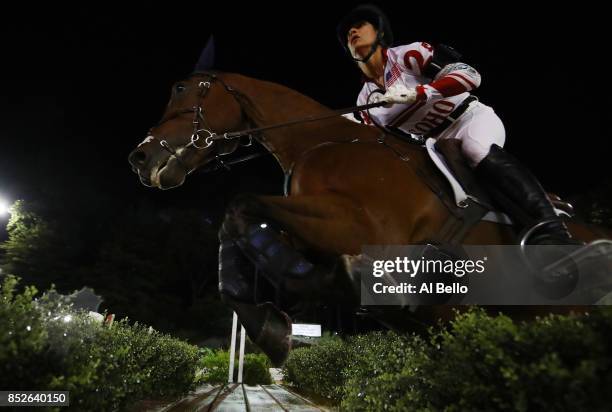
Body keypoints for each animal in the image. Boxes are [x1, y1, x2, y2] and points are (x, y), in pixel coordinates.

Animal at [126, 69, 608, 366]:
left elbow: (242, 204)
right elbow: (239, 223)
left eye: (184, 91)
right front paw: (269, 322)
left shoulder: (362, 226)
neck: (321, 141)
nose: (140, 157)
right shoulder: (313, 233)